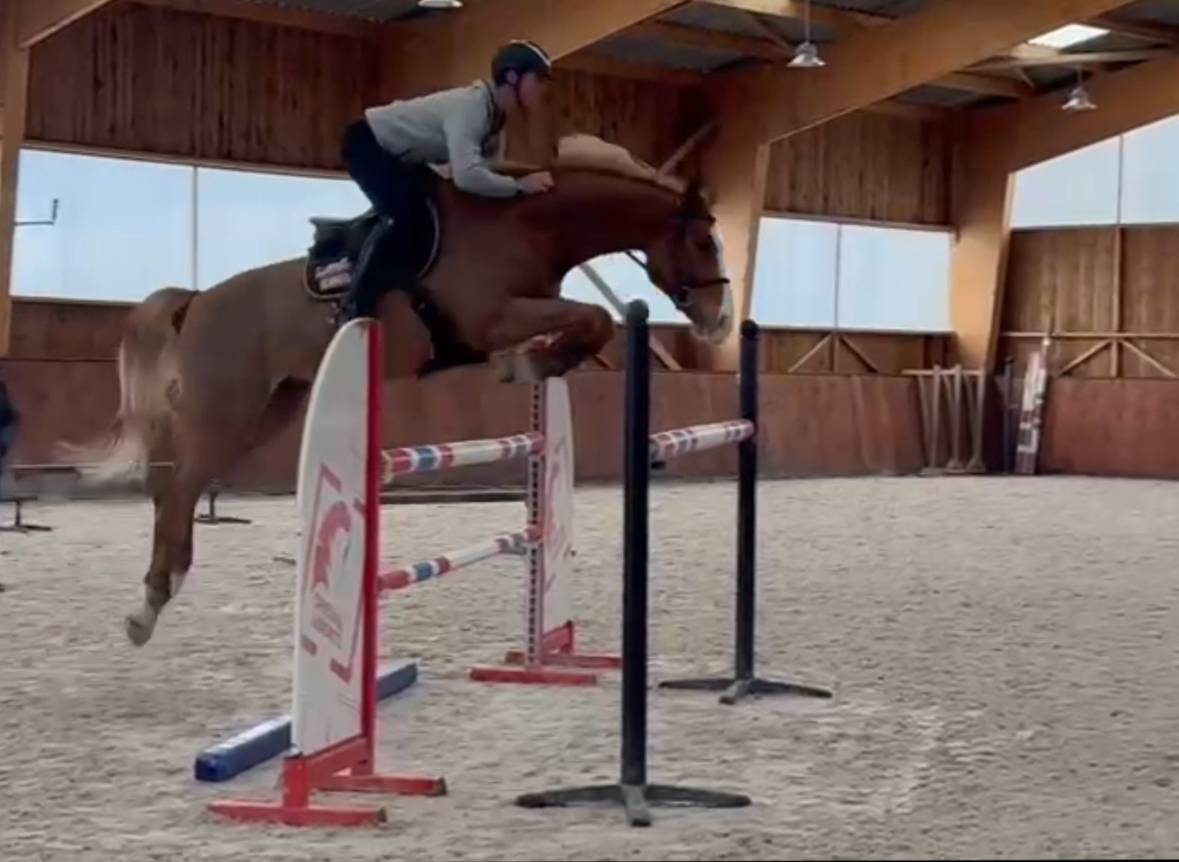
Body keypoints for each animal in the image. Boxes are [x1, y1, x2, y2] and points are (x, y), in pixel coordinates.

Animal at [70, 134, 734, 646]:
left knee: (179, 487)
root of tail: (197, 301)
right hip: (226, 411)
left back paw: (158, 596)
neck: (526, 225)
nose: (720, 320)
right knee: (178, 489)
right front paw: (529, 363)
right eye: (703, 243)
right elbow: (594, 317)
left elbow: (590, 321)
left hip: (271, 408)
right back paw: (147, 608)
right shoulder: (491, 318)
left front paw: (536, 362)